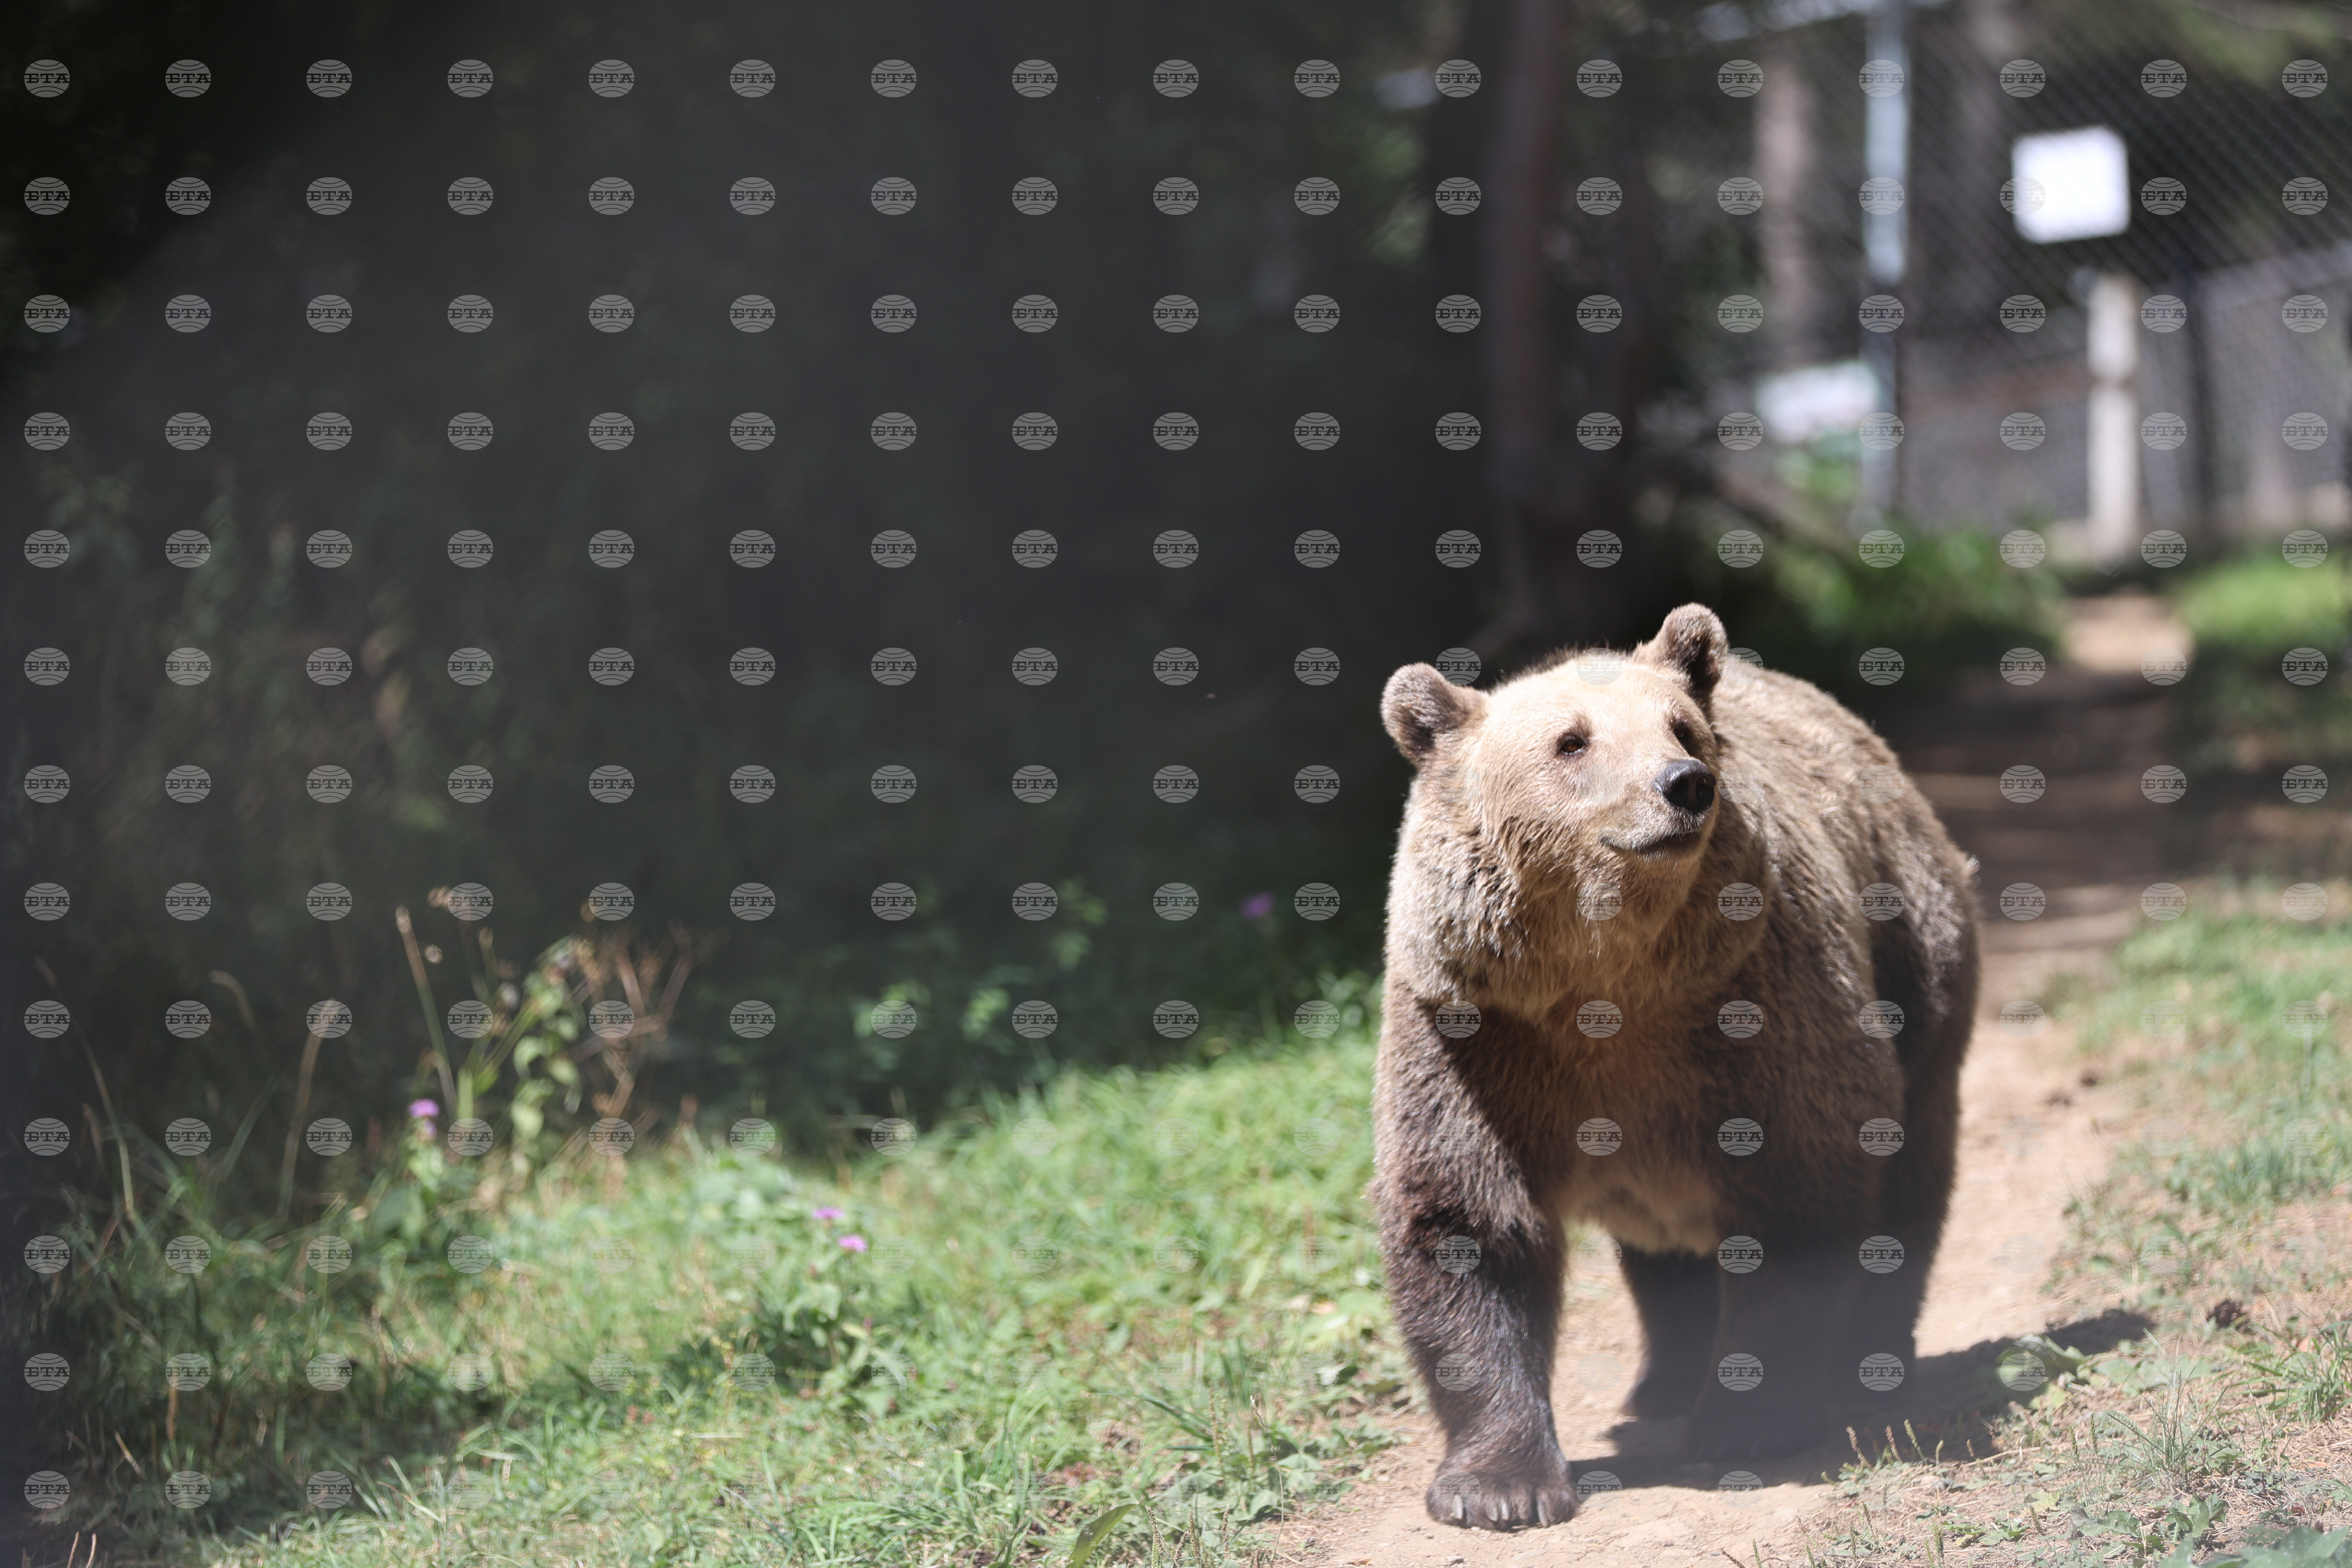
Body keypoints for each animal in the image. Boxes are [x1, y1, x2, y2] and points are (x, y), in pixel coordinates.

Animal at [1369, 603, 1978, 1530]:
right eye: (1572, 741)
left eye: (1681, 727)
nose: (1683, 783)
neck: (1607, 980)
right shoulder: (1475, 1037)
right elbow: (1470, 1222)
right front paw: (1499, 1486)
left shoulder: (1754, 1009)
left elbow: (1800, 1191)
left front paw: (1748, 1420)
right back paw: (1661, 1381)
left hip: (1918, 960)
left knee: (1910, 1183)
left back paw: (1869, 1359)